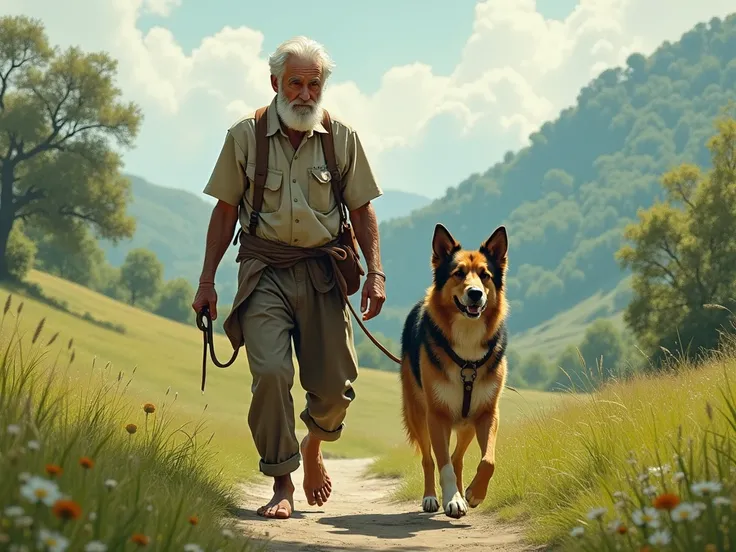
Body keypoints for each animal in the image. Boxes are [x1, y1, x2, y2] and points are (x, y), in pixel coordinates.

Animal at [400, 222, 508, 520]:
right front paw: (453, 500)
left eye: (485, 275)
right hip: (419, 415)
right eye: (458, 273)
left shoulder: (487, 413)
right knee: (429, 459)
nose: (475, 293)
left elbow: (489, 460)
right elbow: (443, 465)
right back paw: (430, 498)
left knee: (458, 458)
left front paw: (473, 493)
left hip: (466, 424)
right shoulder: (437, 417)